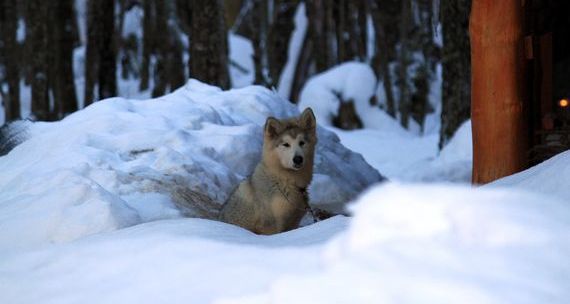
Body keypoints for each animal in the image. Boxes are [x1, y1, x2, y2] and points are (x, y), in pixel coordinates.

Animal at [217, 107, 316, 235]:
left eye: (302, 143)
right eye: (286, 144)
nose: (298, 159)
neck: (283, 181)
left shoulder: (293, 222)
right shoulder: (270, 225)